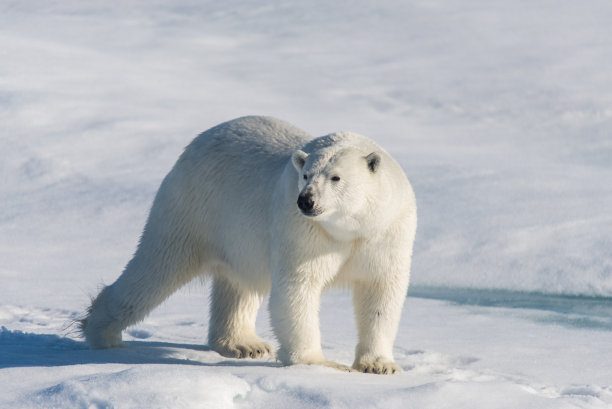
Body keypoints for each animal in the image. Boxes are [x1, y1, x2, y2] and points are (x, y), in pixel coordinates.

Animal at [81, 115, 416, 372]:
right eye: (305, 175)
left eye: (335, 178)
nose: (306, 200)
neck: (348, 229)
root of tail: (198, 140)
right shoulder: (303, 231)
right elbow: (298, 288)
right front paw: (317, 363)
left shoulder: (386, 232)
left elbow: (381, 292)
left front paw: (379, 366)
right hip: (193, 207)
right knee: (156, 267)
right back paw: (100, 331)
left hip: (235, 237)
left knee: (239, 285)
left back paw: (243, 344)